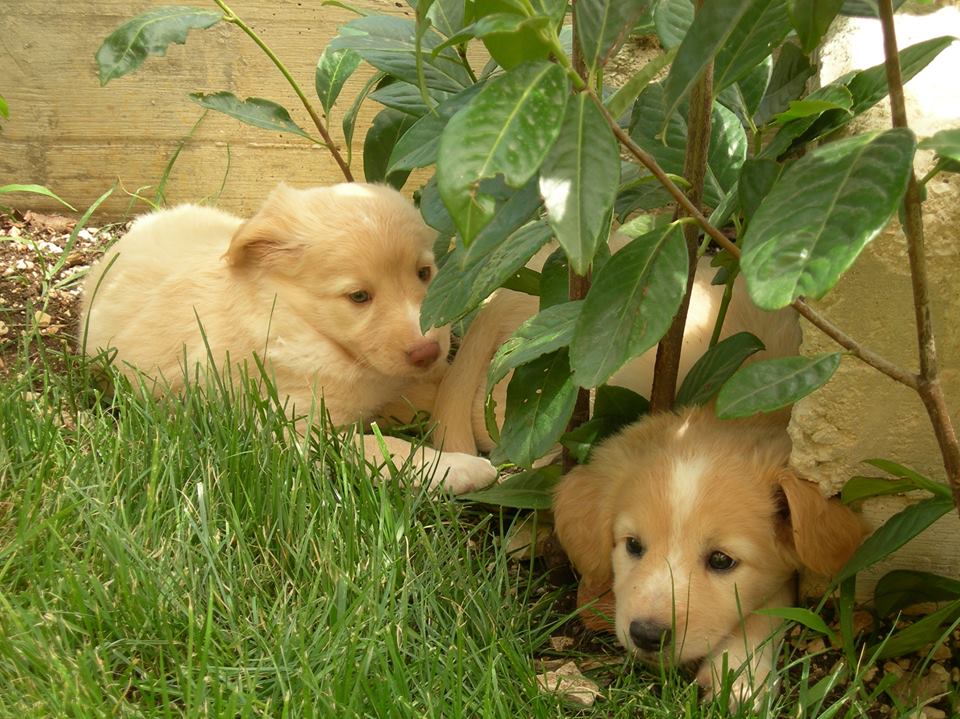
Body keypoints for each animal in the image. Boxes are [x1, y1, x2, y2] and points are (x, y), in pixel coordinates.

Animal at [80, 181, 496, 496]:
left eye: (424, 273)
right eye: (359, 297)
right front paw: (462, 467)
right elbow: (376, 446)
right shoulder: (289, 427)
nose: (429, 351)